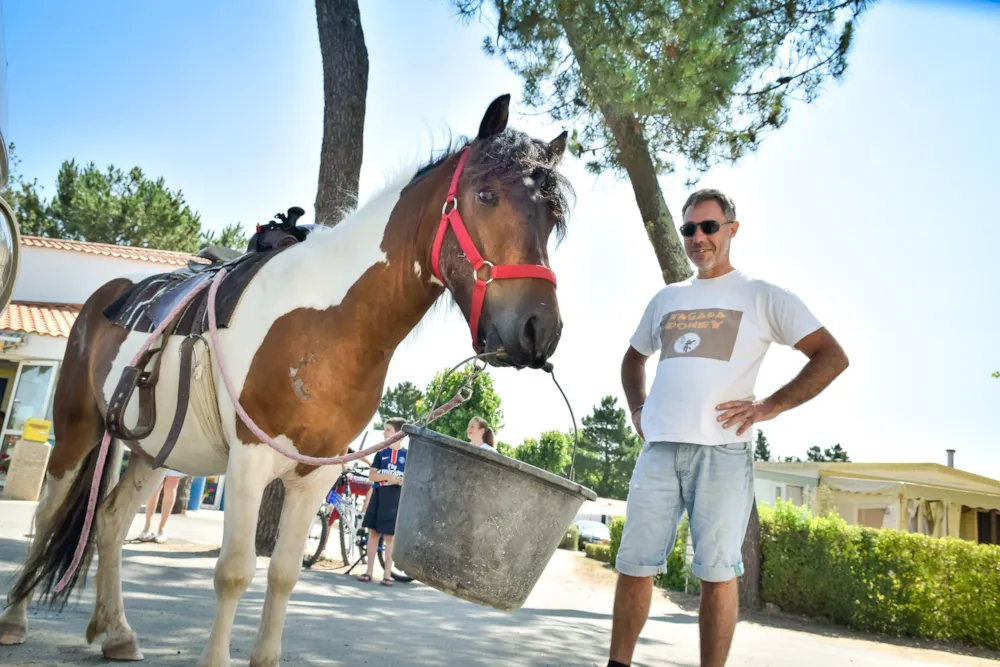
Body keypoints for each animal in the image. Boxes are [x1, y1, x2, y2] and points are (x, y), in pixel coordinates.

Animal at [0, 95, 572, 667]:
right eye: (485, 195)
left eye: (552, 217)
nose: (538, 330)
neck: (331, 322)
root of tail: (109, 294)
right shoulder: (250, 458)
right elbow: (234, 573)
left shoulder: (317, 474)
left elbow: (283, 575)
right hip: (77, 429)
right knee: (47, 514)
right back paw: (16, 619)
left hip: (154, 452)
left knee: (111, 521)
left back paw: (116, 631)